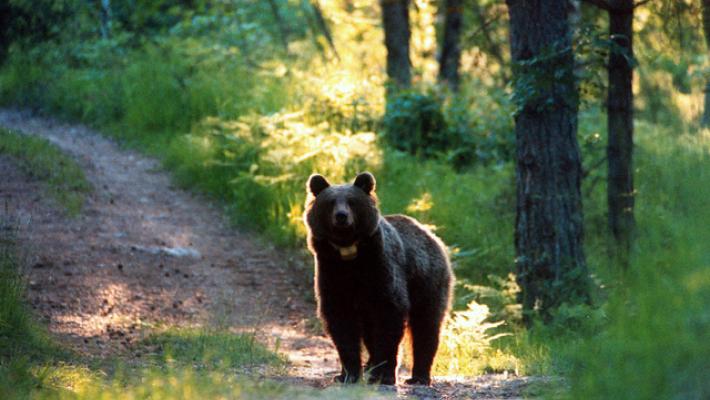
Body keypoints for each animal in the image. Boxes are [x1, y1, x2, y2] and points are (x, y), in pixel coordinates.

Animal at [303, 172, 453, 386]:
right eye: (331, 202)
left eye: (352, 201)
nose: (341, 216)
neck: (349, 255)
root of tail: (431, 235)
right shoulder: (332, 273)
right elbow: (341, 323)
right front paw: (347, 374)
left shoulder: (381, 270)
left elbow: (389, 318)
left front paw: (384, 375)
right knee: (369, 331)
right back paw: (370, 366)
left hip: (427, 280)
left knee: (426, 325)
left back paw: (419, 376)